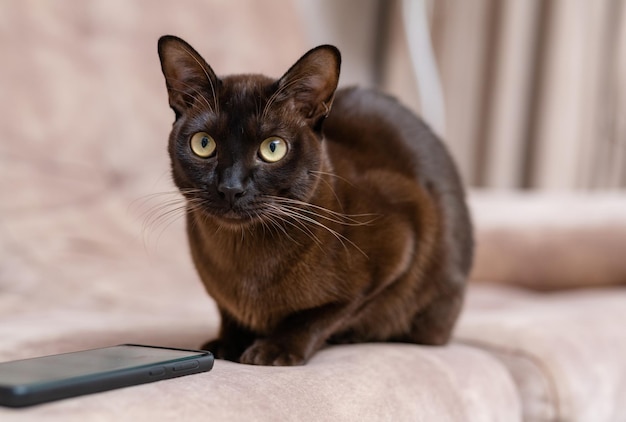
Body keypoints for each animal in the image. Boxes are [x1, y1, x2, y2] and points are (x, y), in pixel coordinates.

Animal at [157, 35, 472, 366]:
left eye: (272, 148)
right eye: (204, 144)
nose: (231, 188)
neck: (241, 257)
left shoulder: (400, 247)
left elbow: (317, 317)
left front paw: (273, 350)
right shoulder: (222, 297)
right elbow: (228, 314)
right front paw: (227, 345)